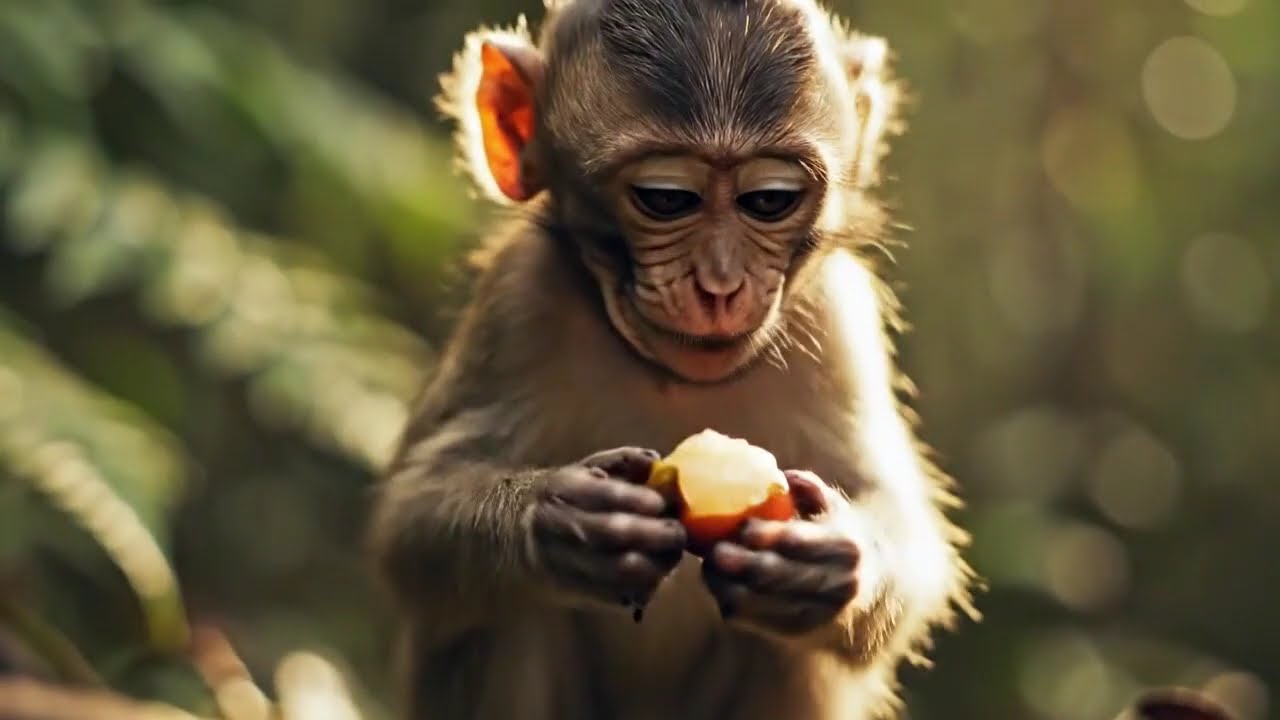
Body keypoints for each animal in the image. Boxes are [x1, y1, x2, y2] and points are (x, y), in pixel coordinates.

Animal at [368, 0, 977, 717]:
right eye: (666, 198)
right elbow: (409, 525)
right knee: (511, 612)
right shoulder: (517, 300)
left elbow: (897, 516)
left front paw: (833, 556)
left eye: (769, 200)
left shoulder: (839, 318)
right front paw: (561, 522)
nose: (720, 286)